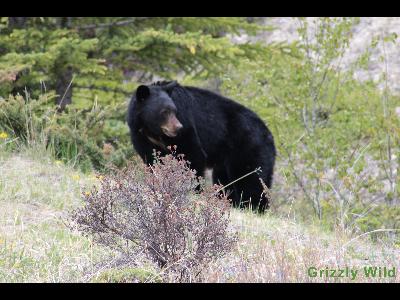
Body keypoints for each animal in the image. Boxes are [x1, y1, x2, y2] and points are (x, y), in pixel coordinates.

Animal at [127, 79, 276, 211]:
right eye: (164, 111)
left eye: (174, 111)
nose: (178, 127)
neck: (152, 130)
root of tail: (269, 134)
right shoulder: (141, 135)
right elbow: (152, 160)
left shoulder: (186, 123)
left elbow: (191, 155)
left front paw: (192, 190)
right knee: (226, 181)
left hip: (248, 147)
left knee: (251, 179)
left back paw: (254, 208)